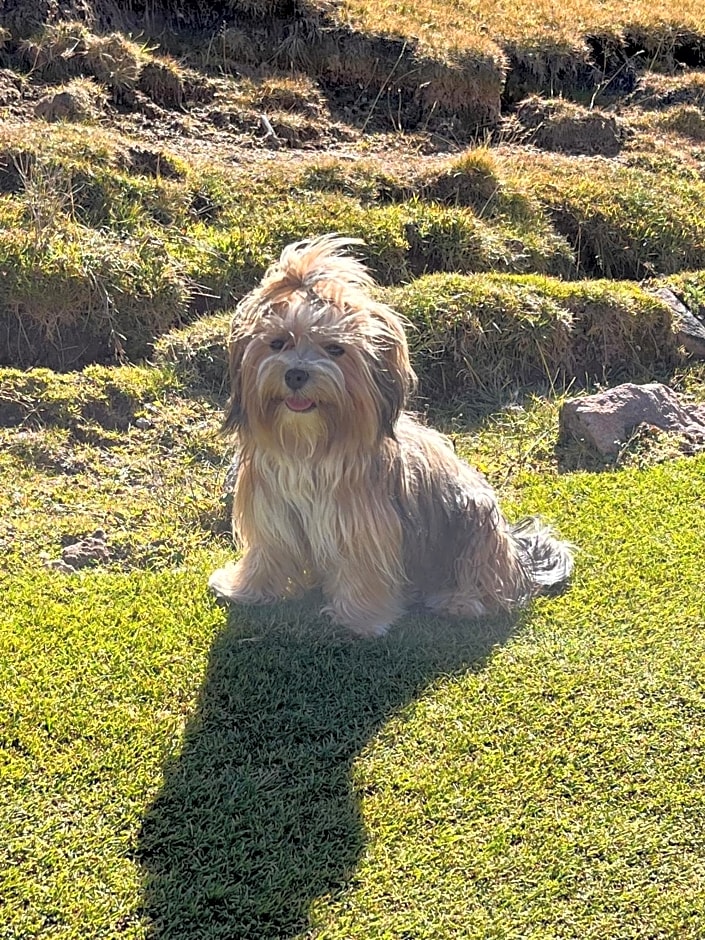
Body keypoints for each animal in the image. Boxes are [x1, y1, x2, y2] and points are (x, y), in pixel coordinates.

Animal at [209, 235, 572, 636]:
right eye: (277, 343)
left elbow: (362, 570)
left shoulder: (360, 526)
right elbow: (267, 555)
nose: (296, 374)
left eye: (335, 349)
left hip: (472, 526)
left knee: (486, 581)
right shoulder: (272, 514)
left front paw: (360, 619)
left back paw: (459, 601)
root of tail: (517, 553)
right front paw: (245, 589)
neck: (310, 448)